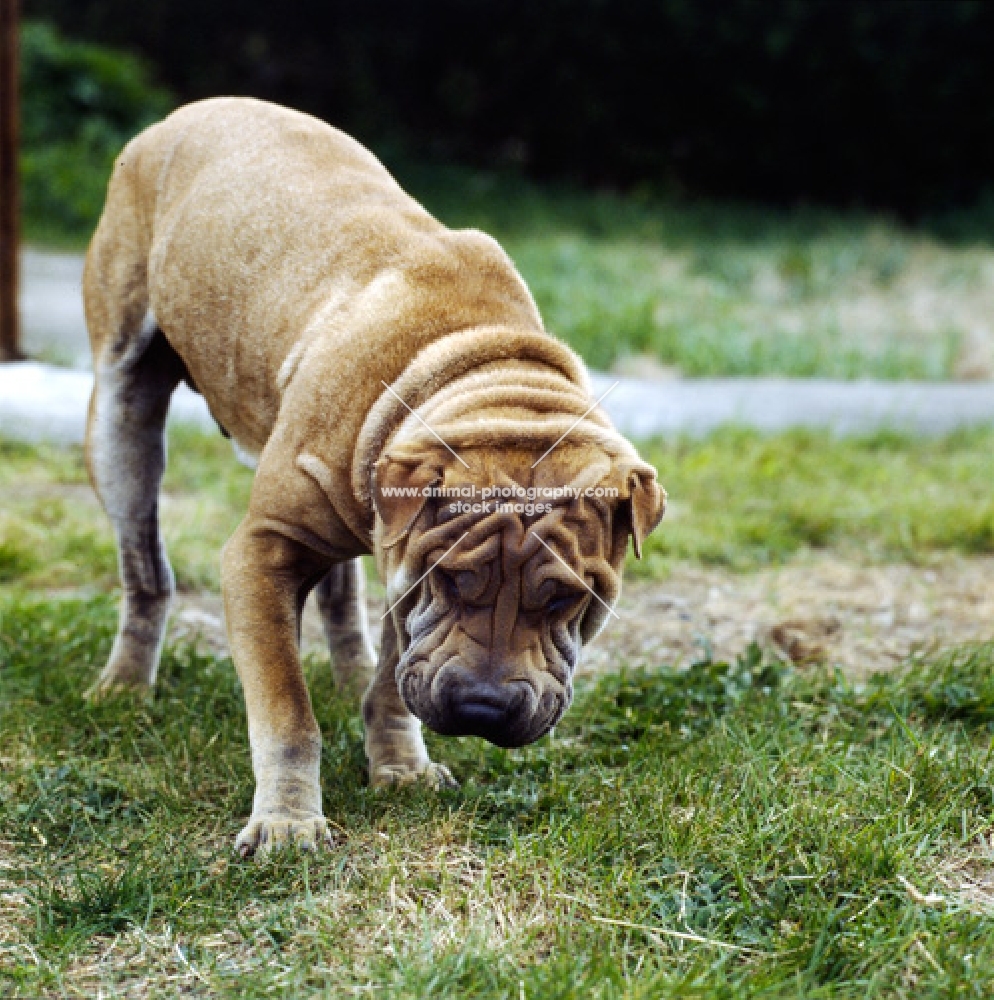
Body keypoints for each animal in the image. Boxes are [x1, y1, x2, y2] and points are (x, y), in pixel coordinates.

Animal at [81, 97, 664, 856]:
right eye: (454, 581)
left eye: (566, 598)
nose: (483, 708)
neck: (481, 370)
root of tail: (183, 114)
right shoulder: (265, 550)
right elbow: (286, 709)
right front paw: (289, 822)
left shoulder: (402, 566)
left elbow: (394, 674)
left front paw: (399, 765)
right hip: (121, 419)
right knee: (145, 565)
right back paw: (125, 684)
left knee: (340, 591)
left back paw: (349, 671)